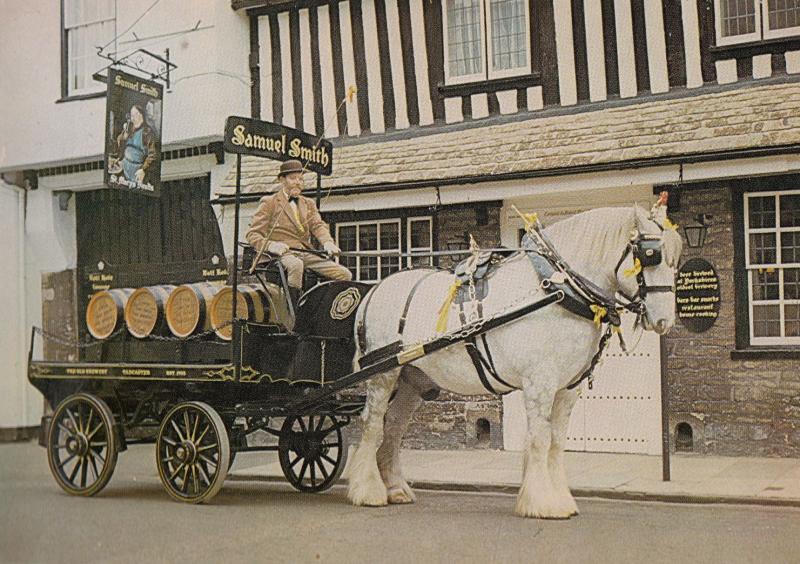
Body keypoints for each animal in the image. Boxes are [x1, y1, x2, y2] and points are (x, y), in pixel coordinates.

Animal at [344, 203, 680, 520]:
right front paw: (542, 502)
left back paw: (395, 488)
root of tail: (375, 289)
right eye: (650, 255)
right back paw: (368, 491)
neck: (557, 288)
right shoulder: (539, 383)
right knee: (372, 424)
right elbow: (540, 440)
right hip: (383, 376)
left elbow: (557, 442)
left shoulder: (568, 388)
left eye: (675, 259)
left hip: (412, 379)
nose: (665, 320)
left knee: (394, 426)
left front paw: (560, 498)